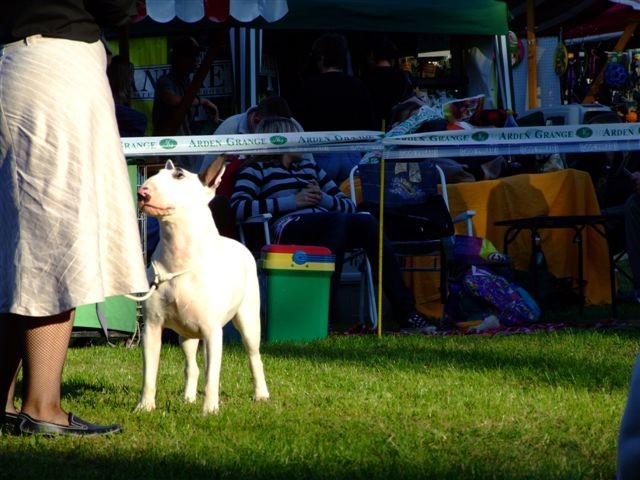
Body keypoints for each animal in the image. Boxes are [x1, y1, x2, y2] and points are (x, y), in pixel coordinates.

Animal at [134, 157, 268, 412]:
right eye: (154, 174)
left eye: (179, 175)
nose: (142, 192)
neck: (179, 261)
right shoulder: (152, 327)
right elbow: (148, 374)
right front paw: (144, 407)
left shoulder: (212, 331)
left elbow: (212, 375)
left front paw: (210, 410)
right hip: (185, 335)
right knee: (191, 366)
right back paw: (187, 397)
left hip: (248, 320)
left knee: (253, 356)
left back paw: (261, 394)